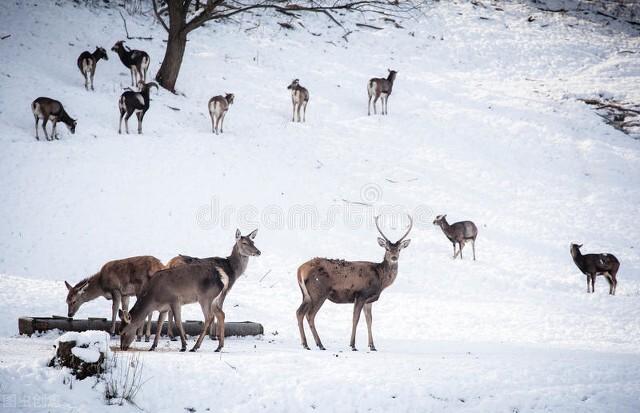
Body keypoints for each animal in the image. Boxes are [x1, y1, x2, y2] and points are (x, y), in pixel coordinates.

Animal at [117, 229, 260, 350]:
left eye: (253, 242)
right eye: (244, 242)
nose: (258, 252)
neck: (232, 270)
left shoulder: (175, 301)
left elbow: (171, 321)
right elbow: (163, 322)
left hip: (205, 298)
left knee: (212, 316)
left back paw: (198, 345)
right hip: (207, 298)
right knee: (216, 315)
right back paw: (210, 345)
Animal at [298, 216, 412, 350]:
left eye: (399, 249)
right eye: (387, 249)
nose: (394, 257)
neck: (380, 279)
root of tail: (300, 270)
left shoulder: (369, 300)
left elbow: (369, 320)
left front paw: (372, 346)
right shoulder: (361, 294)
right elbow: (355, 319)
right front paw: (352, 345)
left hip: (306, 295)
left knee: (299, 312)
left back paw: (305, 344)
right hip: (319, 292)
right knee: (310, 315)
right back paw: (320, 344)